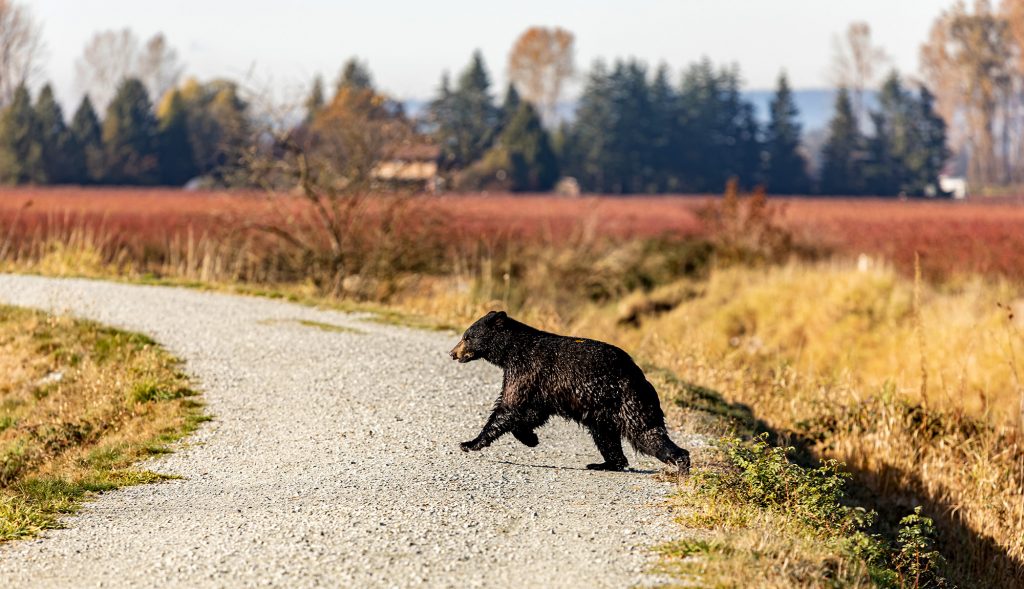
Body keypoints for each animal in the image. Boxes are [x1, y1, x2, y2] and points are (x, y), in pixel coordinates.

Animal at [449, 310, 690, 473]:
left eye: (467, 336)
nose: (453, 353)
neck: (511, 352)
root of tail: (643, 378)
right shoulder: (539, 385)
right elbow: (532, 412)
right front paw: (530, 438)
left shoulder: (527, 370)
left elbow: (509, 407)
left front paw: (469, 443)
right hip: (603, 414)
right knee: (607, 438)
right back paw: (604, 463)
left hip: (629, 403)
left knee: (647, 434)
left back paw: (681, 464)